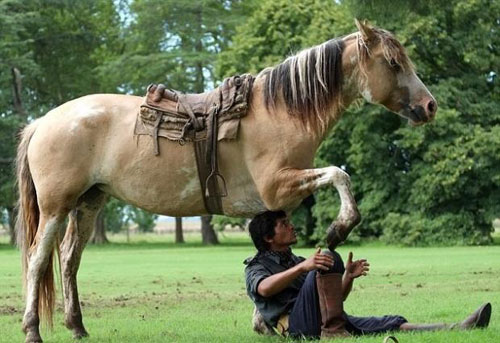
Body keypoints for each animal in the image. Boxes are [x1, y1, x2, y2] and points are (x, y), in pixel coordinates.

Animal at [15, 20, 436, 342]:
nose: (429, 105)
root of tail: (42, 122)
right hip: (56, 207)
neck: (279, 112)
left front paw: (262, 322)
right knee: (38, 260)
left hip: (89, 202)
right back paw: (32, 329)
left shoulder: (270, 205)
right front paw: (339, 227)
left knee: (69, 260)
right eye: (394, 62)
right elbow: (339, 174)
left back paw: (78, 327)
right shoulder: (278, 186)